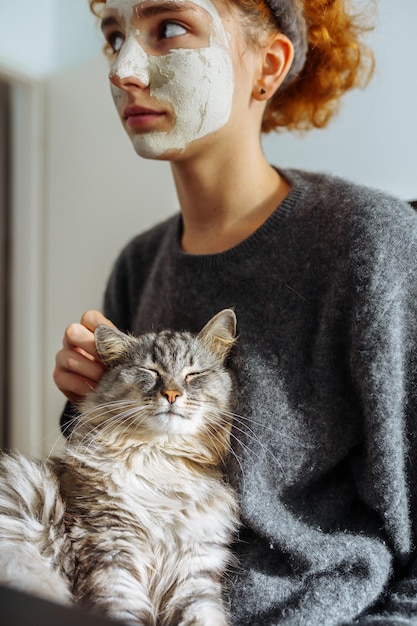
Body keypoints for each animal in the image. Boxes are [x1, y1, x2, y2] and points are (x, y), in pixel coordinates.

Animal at [0, 310, 240, 620]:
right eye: (151, 372)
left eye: (193, 374)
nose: (172, 395)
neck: (161, 463)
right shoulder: (111, 549)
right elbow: (124, 610)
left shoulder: (195, 569)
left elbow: (203, 615)